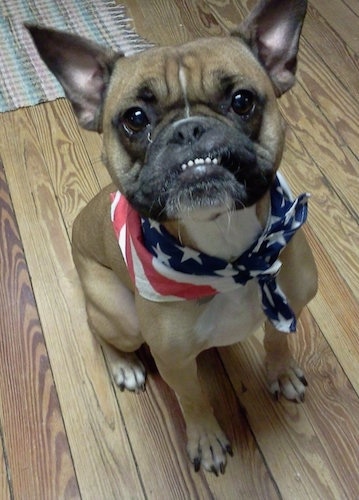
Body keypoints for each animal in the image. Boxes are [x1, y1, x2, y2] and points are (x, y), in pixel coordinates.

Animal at [28, 0, 318, 476]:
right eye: (135, 118)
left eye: (242, 100)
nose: (188, 129)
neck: (232, 259)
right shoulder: (174, 361)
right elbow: (192, 398)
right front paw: (205, 440)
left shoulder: (289, 298)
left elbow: (277, 337)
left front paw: (281, 372)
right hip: (121, 318)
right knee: (99, 329)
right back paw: (124, 367)